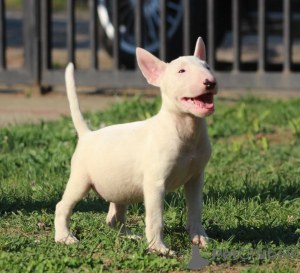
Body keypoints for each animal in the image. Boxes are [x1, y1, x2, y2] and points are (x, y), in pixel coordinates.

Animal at [54, 36, 218, 253]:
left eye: (208, 66)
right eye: (181, 71)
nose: (210, 82)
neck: (185, 131)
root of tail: (87, 135)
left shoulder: (196, 178)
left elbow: (196, 208)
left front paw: (200, 238)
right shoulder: (155, 184)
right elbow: (156, 218)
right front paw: (159, 249)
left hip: (119, 187)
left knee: (113, 217)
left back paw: (130, 236)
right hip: (80, 181)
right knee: (62, 206)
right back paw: (64, 237)